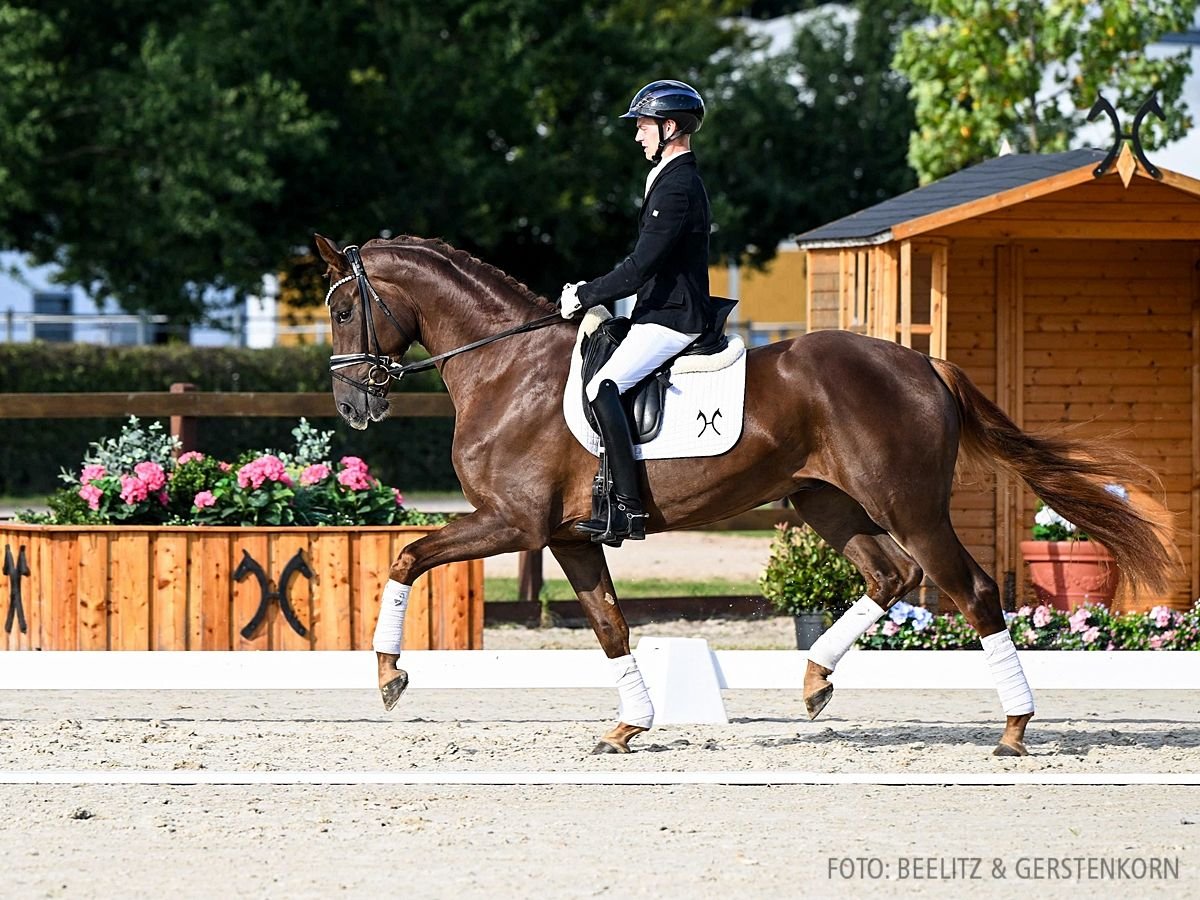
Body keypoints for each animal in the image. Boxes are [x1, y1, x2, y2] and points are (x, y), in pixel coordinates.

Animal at [312, 236, 1171, 758]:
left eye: (344, 308)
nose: (354, 406)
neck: (504, 368)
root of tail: (923, 365)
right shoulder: (567, 536)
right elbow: (610, 626)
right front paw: (628, 726)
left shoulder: (511, 524)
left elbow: (405, 555)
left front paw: (388, 676)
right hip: (825, 501)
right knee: (890, 576)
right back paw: (816, 681)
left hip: (910, 507)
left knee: (971, 589)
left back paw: (1015, 727)